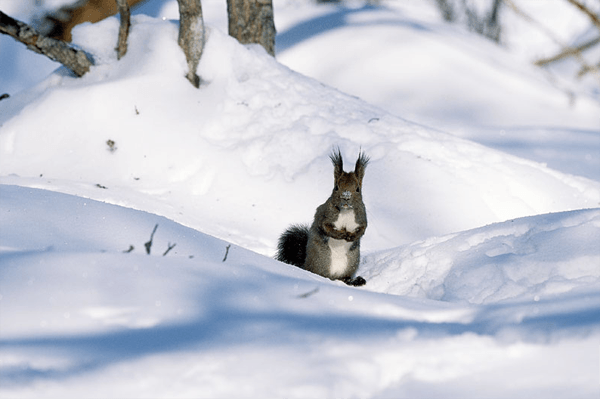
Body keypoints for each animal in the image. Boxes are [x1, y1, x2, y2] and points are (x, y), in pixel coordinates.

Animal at [278, 148, 370, 286]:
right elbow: (325, 227)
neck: (346, 211)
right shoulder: (324, 214)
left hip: (351, 263)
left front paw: (352, 236)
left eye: (358, 189)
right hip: (321, 260)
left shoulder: (361, 217)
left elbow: (363, 230)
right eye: (336, 187)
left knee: (344, 278)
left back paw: (354, 280)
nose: (346, 197)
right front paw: (341, 234)